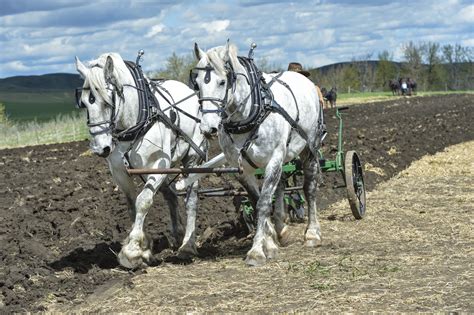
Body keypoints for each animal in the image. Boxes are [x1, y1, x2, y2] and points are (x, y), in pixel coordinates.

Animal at [75, 52, 206, 270]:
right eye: (84, 103)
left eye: (107, 102)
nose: (101, 148)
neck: (135, 120)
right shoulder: (120, 172)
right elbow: (132, 205)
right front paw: (144, 247)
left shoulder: (158, 165)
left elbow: (143, 201)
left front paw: (133, 251)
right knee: (171, 196)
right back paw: (178, 235)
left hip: (192, 159)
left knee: (191, 200)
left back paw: (188, 246)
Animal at [192, 40, 322, 266]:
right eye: (197, 84)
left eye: (222, 82)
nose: (208, 128)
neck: (250, 115)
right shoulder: (241, 168)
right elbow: (257, 200)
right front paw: (269, 244)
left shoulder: (274, 159)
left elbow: (262, 203)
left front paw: (256, 252)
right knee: (281, 186)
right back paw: (281, 230)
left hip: (309, 147)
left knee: (309, 187)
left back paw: (312, 233)